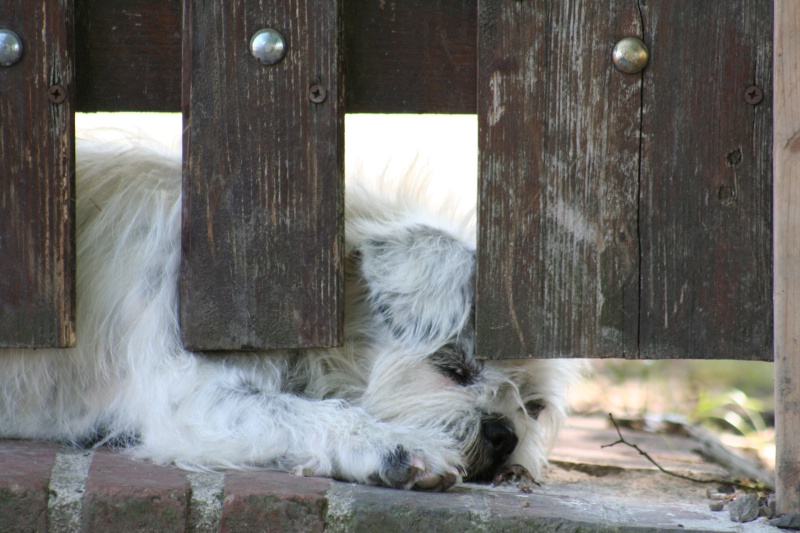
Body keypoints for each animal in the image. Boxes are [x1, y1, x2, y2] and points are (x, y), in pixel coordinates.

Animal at [0, 137, 580, 490]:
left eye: (534, 407)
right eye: (452, 367)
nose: (505, 436)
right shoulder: (191, 397)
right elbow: (298, 412)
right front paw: (395, 447)